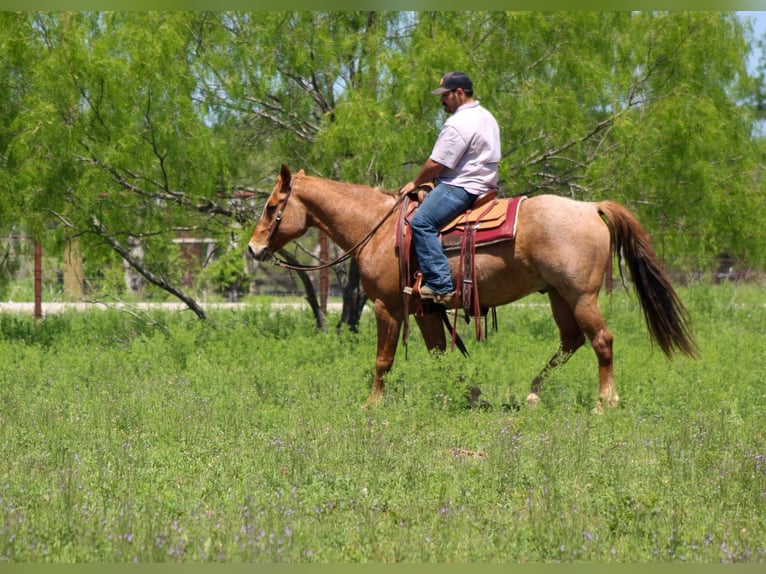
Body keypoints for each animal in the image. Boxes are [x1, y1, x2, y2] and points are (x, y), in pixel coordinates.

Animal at [248, 164, 697, 410]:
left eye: (271, 207)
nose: (253, 248)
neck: (377, 227)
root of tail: (591, 207)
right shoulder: (426, 308)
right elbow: (440, 354)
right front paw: (468, 394)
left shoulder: (387, 306)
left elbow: (383, 360)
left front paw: (371, 403)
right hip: (557, 296)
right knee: (572, 341)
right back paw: (534, 392)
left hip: (580, 295)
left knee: (602, 340)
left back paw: (605, 403)